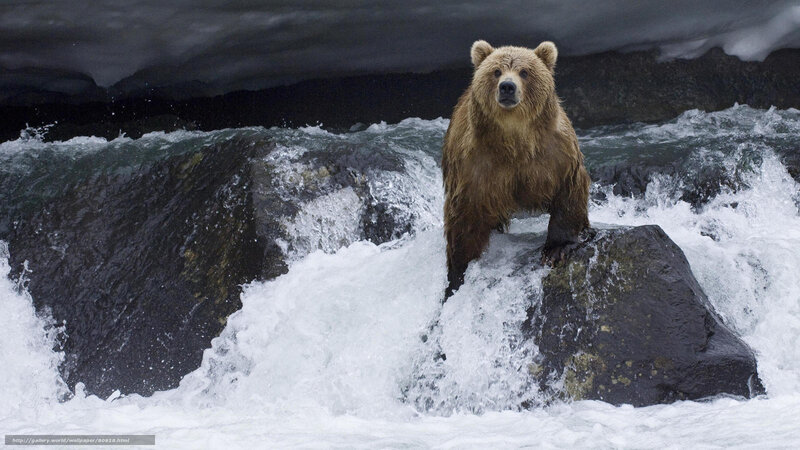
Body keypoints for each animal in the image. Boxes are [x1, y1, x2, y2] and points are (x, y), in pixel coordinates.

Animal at [442, 40, 591, 298]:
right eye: (496, 71)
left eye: (524, 72)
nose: (507, 87)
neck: (514, 139)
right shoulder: (474, 165)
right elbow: (464, 216)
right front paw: (458, 272)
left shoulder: (555, 153)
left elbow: (568, 191)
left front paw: (556, 249)